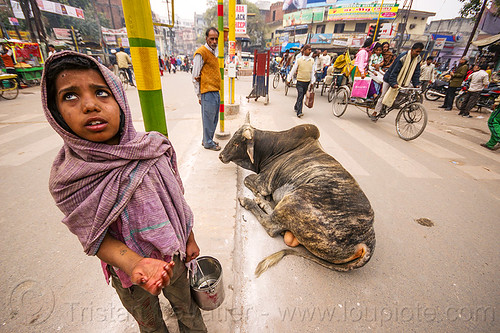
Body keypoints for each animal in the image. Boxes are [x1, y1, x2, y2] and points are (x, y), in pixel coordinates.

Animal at [219, 113, 376, 276]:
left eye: (237, 143)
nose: (221, 156)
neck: (271, 149)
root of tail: (368, 241)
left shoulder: (264, 183)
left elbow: (248, 179)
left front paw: (260, 197)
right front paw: (263, 199)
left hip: (295, 199)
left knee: (272, 225)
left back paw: (250, 201)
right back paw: (263, 202)